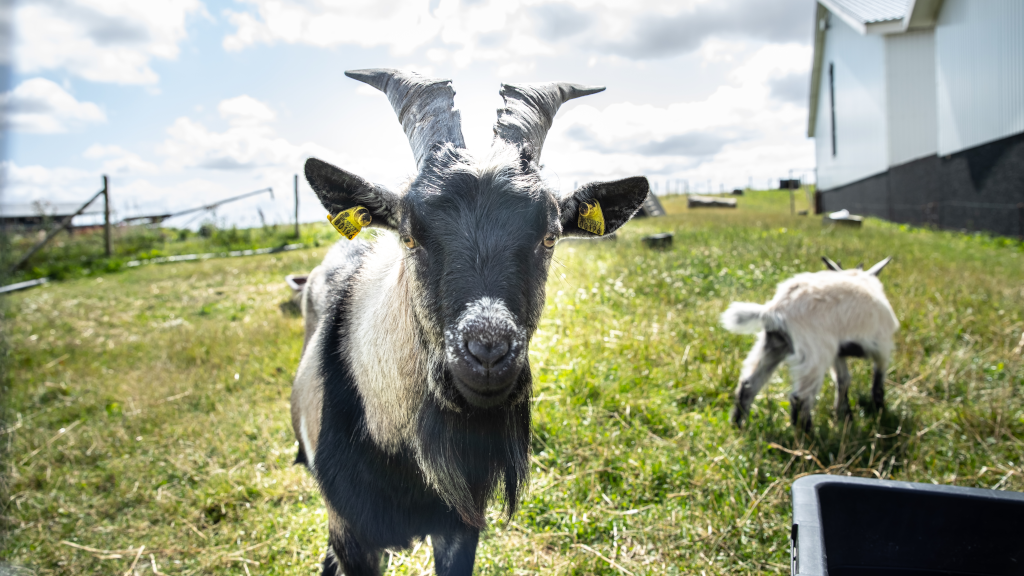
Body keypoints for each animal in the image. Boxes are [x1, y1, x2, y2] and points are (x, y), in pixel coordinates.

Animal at [720, 257, 898, 430]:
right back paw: (808, 435)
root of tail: (775, 309)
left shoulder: (838, 353)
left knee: (748, 384)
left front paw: (844, 415)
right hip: (815, 352)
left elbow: (843, 381)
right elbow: (877, 383)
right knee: (800, 398)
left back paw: (738, 424)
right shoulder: (883, 348)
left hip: (773, 344)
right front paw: (880, 412)